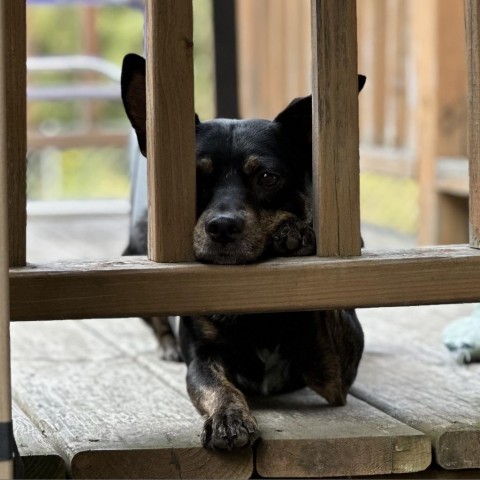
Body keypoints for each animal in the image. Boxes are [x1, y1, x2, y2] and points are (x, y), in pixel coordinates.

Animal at [122, 54, 366, 452]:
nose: (222, 227)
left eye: (267, 178)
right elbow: (219, 387)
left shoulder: (335, 374)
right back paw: (167, 346)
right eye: (194, 179)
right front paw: (229, 418)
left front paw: (297, 232)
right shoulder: (202, 358)